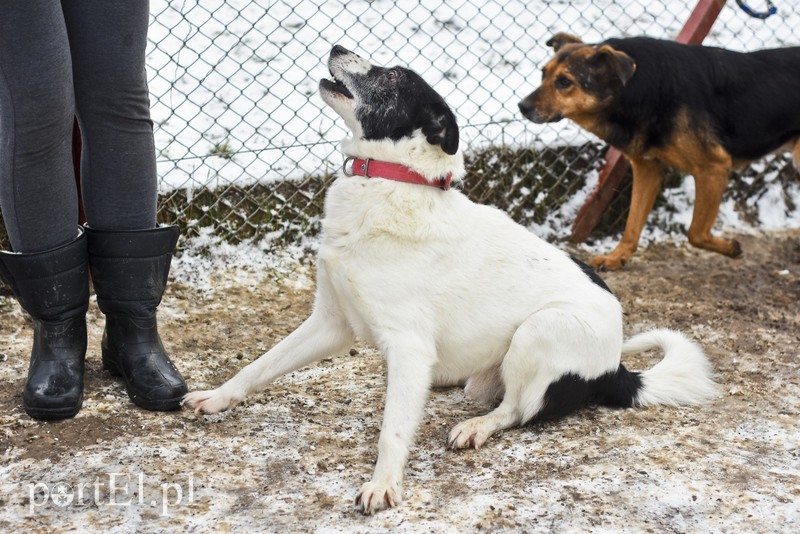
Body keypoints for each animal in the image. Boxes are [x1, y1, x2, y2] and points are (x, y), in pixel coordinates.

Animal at [183, 45, 720, 516]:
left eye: (394, 76)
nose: (335, 46)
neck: (390, 179)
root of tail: (617, 370)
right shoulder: (330, 321)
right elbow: (260, 365)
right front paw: (217, 397)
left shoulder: (407, 345)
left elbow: (393, 430)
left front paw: (383, 485)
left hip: (540, 332)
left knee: (518, 410)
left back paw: (478, 426)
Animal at [520, 33, 800, 270]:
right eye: (543, 74)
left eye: (564, 82)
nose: (521, 106)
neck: (645, 90)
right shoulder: (647, 169)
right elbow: (632, 224)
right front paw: (617, 257)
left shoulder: (713, 168)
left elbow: (695, 233)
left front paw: (731, 248)